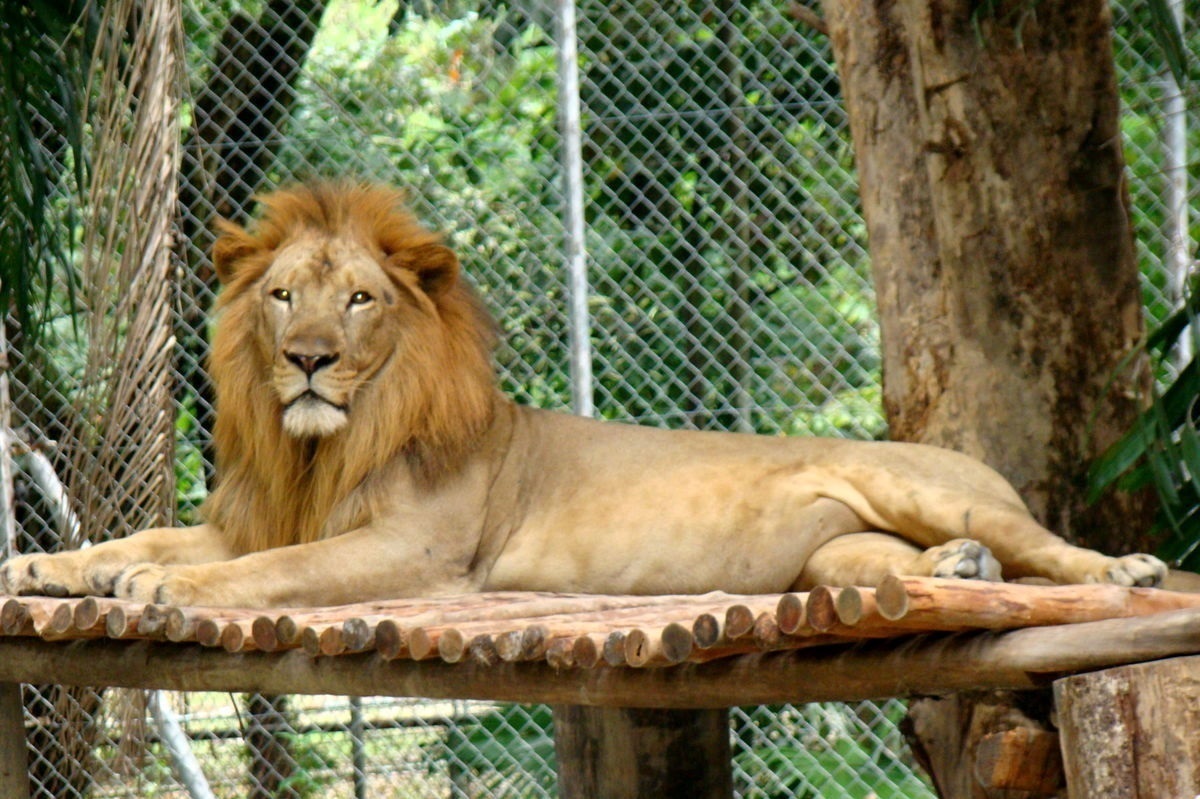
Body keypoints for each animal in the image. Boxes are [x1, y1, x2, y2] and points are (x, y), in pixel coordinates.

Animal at [0, 179, 1161, 604]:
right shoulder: (263, 514)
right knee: (901, 559)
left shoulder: (413, 549)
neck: (321, 443)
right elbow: (146, 535)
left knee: (1047, 544)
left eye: (361, 300)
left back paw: (1124, 568)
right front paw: (45, 565)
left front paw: (163, 588)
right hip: (837, 551)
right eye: (284, 296)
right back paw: (956, 569)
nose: (309, 360)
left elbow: (269, 570)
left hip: (931, 485)